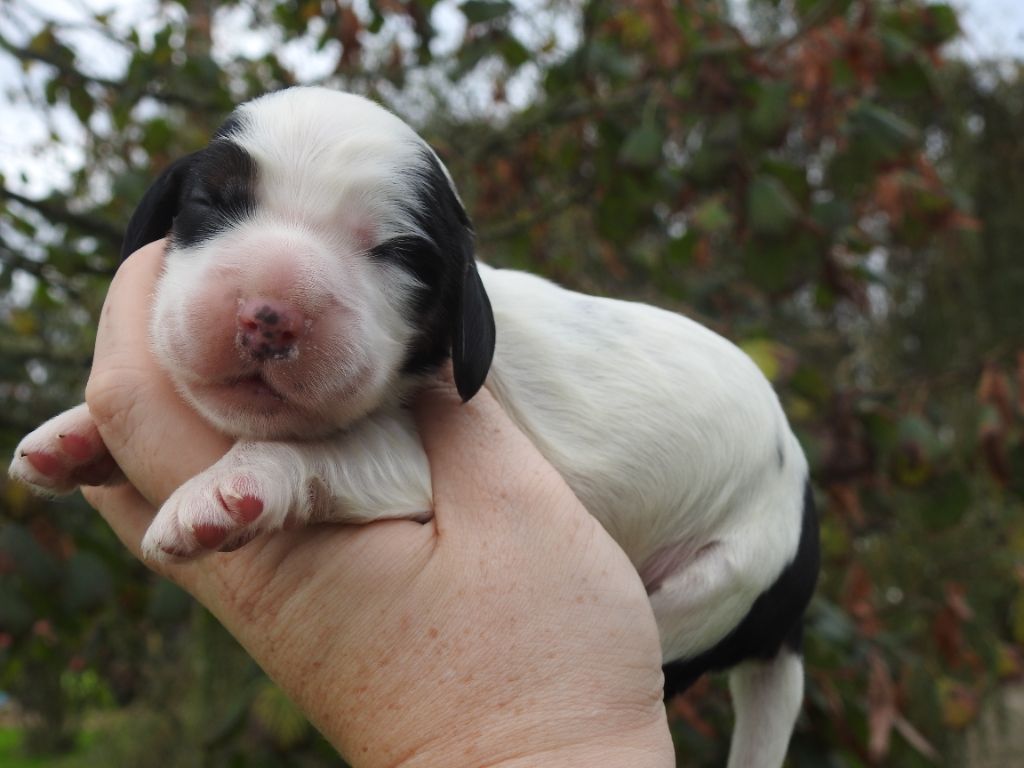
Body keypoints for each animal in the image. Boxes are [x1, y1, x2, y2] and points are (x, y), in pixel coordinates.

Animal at [9, 85, 815, 768]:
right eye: (211, 201)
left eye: (398, 254)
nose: (269, 316)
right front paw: (72, 438)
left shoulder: (407, 461)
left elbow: (319, 449)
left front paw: (229, 488)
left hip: (720, 582)